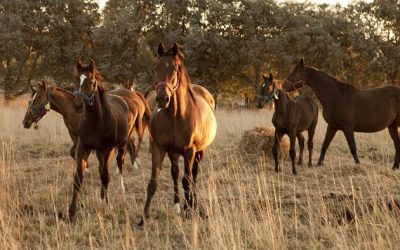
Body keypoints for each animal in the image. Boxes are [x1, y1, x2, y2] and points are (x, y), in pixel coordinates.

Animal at [68, 59, 137, 221]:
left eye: (92, 82)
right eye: (76, 80)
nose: (78, 105)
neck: (95, 121)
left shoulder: (107, 149)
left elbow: (106, 176)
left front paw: (107, 206)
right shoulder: (84, 148)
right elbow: (78, 178)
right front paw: (71, 212)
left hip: (121, 146)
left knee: (119, 164)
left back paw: (121, 190)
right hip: (100, 152)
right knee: (101, 169)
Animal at [139, 43, 217, 227]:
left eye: (174, 69)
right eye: (156, 67)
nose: (162, 98)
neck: (175, 116)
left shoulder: (189, 152)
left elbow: (186, 181)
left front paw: (188, 212)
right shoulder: (159, 148)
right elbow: (153, 182)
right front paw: (144, 217)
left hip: (199, 152)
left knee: (193, 175)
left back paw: (193, 205)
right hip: (173, 152)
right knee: (175, 173)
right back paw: (178, 205)